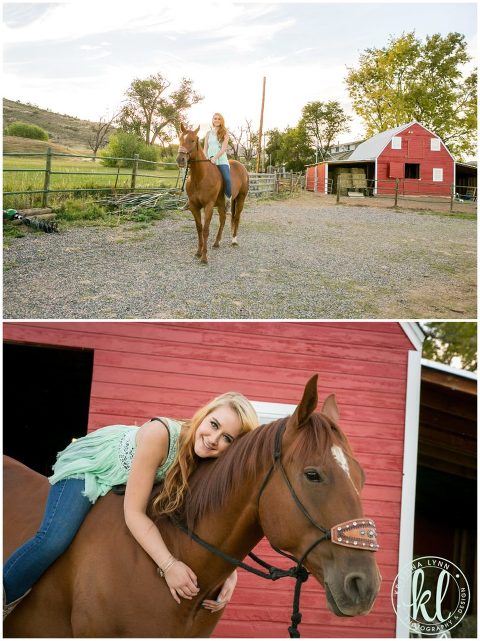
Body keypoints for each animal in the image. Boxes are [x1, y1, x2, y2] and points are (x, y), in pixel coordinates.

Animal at [176, 124, 249, 264]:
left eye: (192, 140)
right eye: (180, 139)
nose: (180, 159)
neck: (200, 177)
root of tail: (242, 166)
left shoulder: (208, 206)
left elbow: (205, 230)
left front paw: (204, 258)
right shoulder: (194, 207)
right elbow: (199, 228)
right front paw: (198, 252)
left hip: (241, 198)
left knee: (236, 217)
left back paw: (234, 240)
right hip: (221, 204)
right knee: (223, 219)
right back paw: (216, 242)